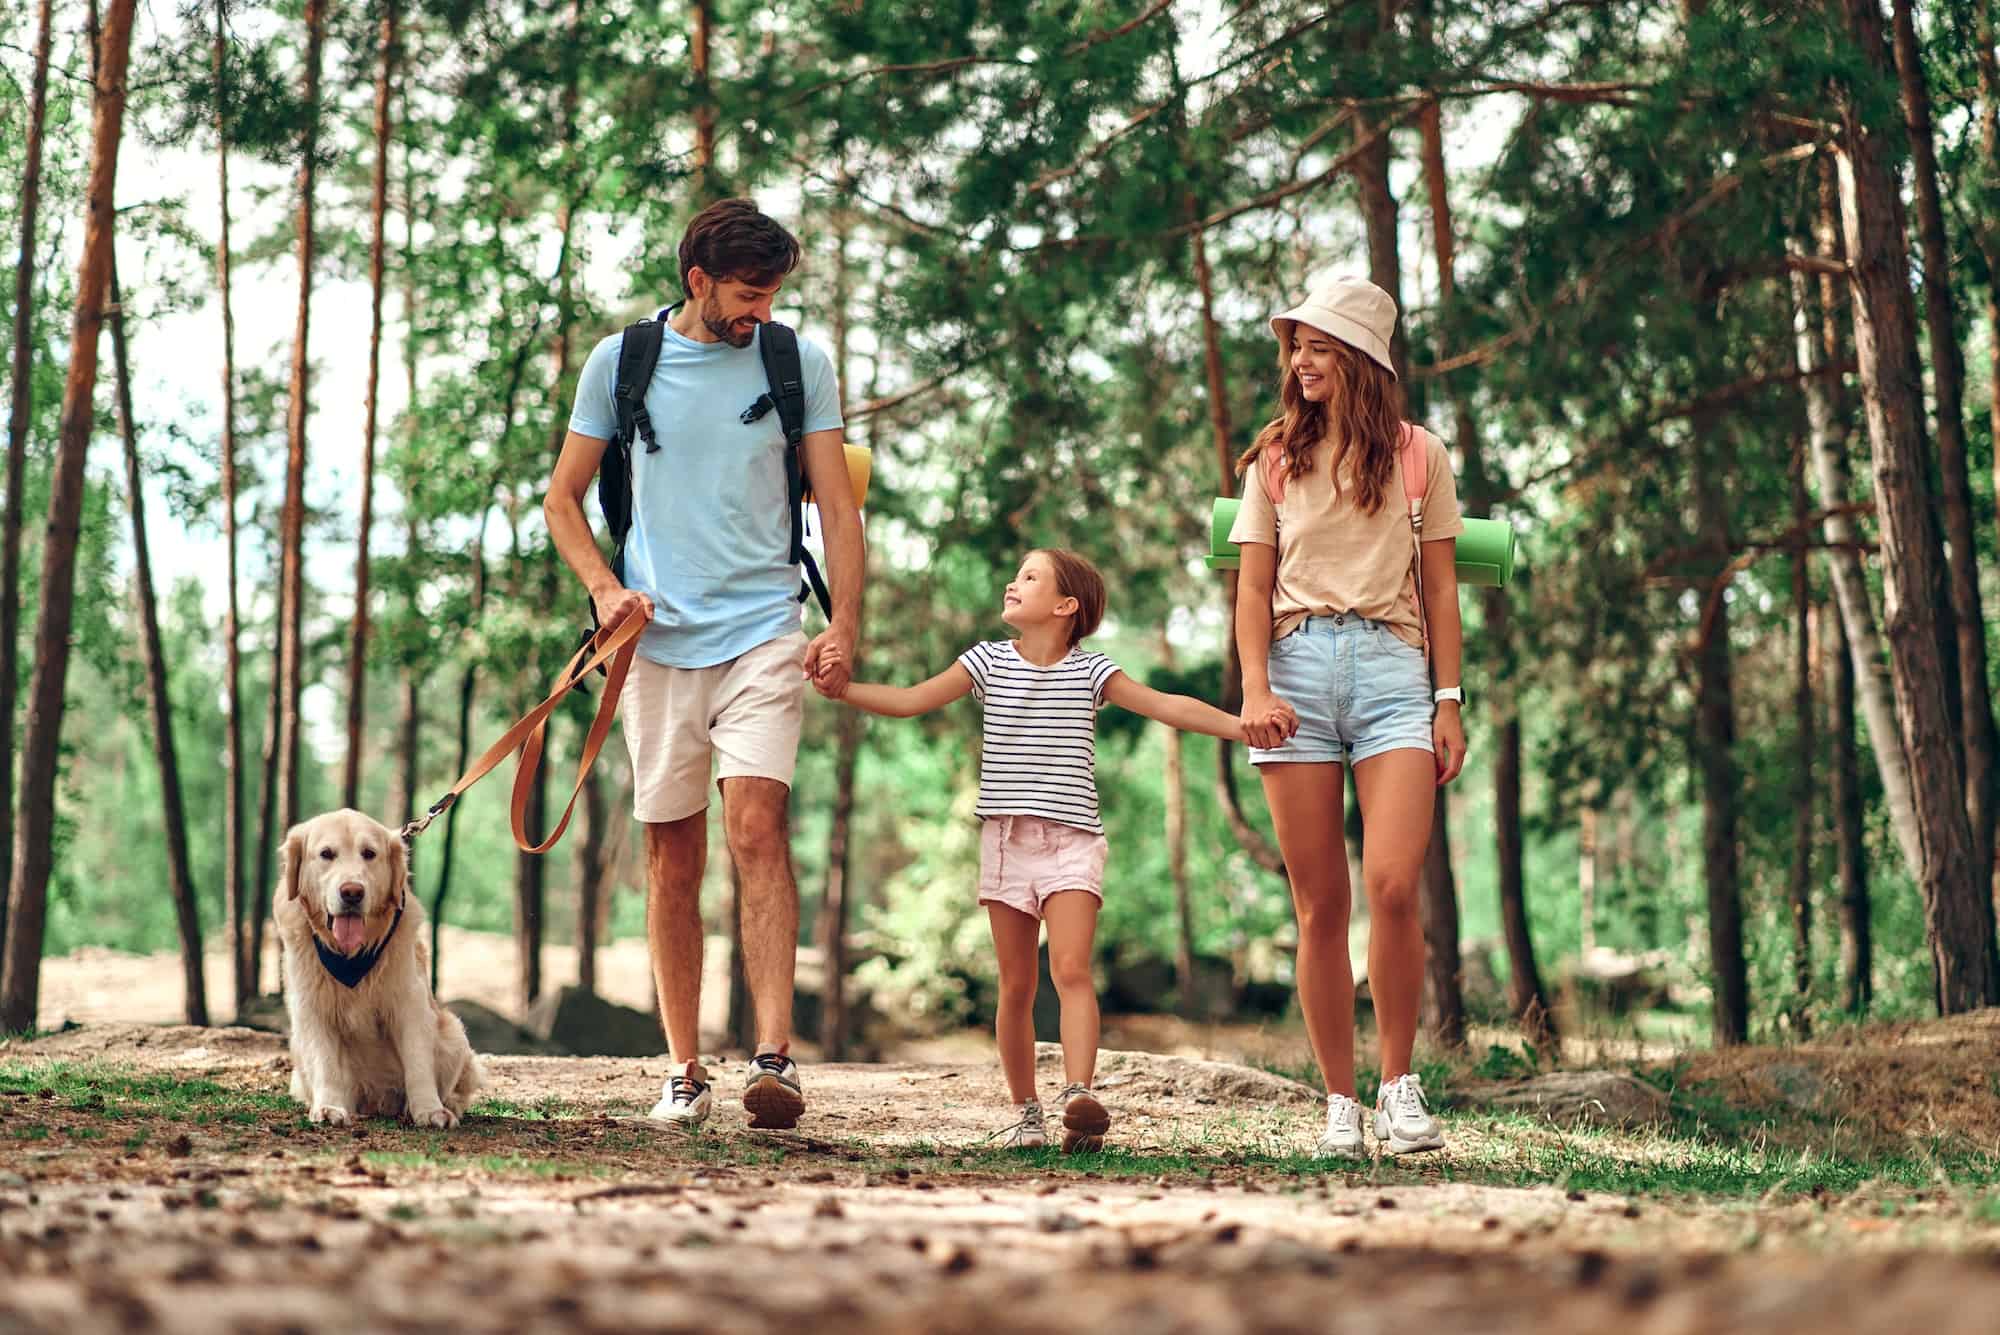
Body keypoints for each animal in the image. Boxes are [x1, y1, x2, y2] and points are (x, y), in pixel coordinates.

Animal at [274, 803, 484, 1127]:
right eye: (326, 854)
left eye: (369, 853)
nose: (352, 892)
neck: (350, 957)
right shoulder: (311, 1007)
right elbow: (325, 1061)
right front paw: (329, 1107)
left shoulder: (410, 1003)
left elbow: (418, 1063)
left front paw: (429, 1110)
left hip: (453, 1033)